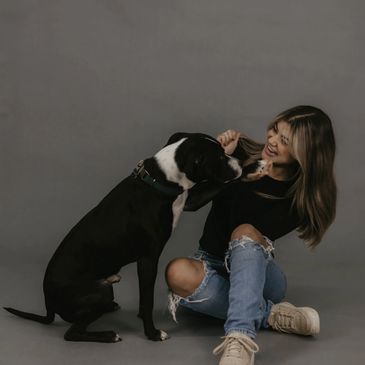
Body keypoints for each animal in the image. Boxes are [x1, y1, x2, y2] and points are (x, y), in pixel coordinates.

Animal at [4, 133, 242, 342]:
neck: (158, 178)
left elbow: (218, 185)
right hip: (100, 291)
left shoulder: (189, 199)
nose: (238, 160)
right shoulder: (148, 260)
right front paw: (152, 334)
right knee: (71, 333)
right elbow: (147, 300)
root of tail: (48, 303)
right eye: (220, 157)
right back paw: (109, 335)